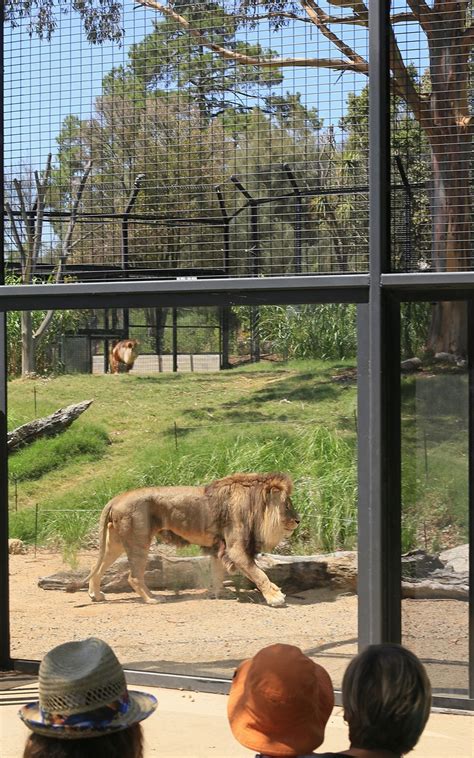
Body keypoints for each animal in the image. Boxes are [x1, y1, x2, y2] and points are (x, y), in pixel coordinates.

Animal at [87, 472, 298, 608]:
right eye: (288, 505)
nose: (298, 520)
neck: (255, 503)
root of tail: (117, 498)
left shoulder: (219, 548)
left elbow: (217, 574)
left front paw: (218, 593)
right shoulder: (236, 549)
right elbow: (259, 574)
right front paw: (275, 597)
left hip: (116, 543)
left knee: (96, 569)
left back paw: (96, 595)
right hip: (138, 541)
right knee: (134, 576)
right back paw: (152, 599)